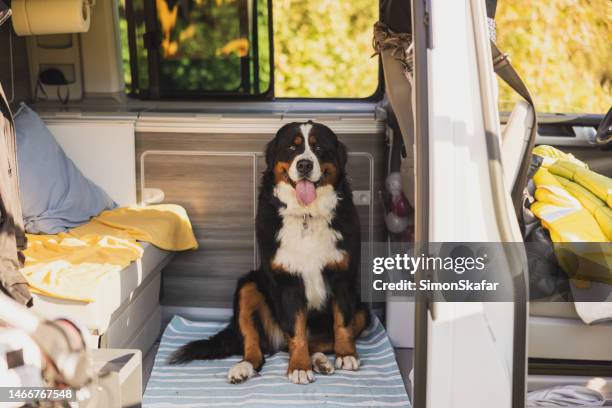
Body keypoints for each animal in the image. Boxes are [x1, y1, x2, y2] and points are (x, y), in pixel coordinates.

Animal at [169, 119, 368, 384]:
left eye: (318, 148)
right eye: (292, 148)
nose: (304, 164)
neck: (306, 216)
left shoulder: (343, 277)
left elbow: (342, 324)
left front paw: (346, 355)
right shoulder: (288, 281)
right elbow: (296, 332)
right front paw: (299, 367)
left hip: (363, 310)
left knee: (314, 342)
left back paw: (321, 361)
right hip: (248, 286)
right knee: (256, 346)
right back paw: (243, 367)